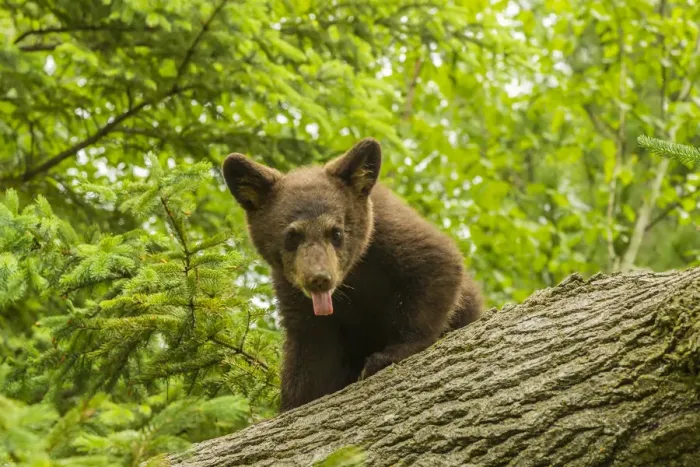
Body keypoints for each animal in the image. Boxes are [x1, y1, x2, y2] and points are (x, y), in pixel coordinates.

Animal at [222, 137, 483, 411]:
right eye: (292, 236)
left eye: (336, 232)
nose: (319, 278)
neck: (354, 278)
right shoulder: (293, 295)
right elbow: (310, 352)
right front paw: (295, 401)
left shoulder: (390, 234)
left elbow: (437, 263)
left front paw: (387, 355)